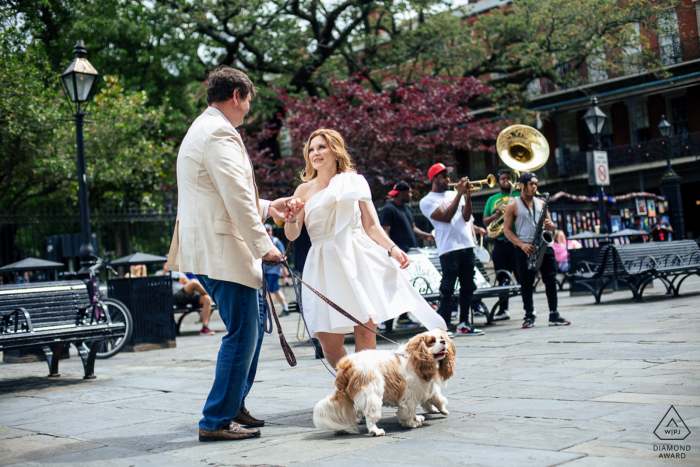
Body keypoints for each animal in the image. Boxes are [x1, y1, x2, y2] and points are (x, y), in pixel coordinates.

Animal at [314, 330, 456, 436]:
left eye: (442, 338)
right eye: (432, 341)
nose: (443, 341)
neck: (416, 358)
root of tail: (348, 364)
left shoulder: (418, 392)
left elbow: (427, 402)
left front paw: (421, 416)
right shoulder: (409, 395)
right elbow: (409, 411)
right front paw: (412, 423)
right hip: (372, 394)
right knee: (371, 416)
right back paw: (375, 430)